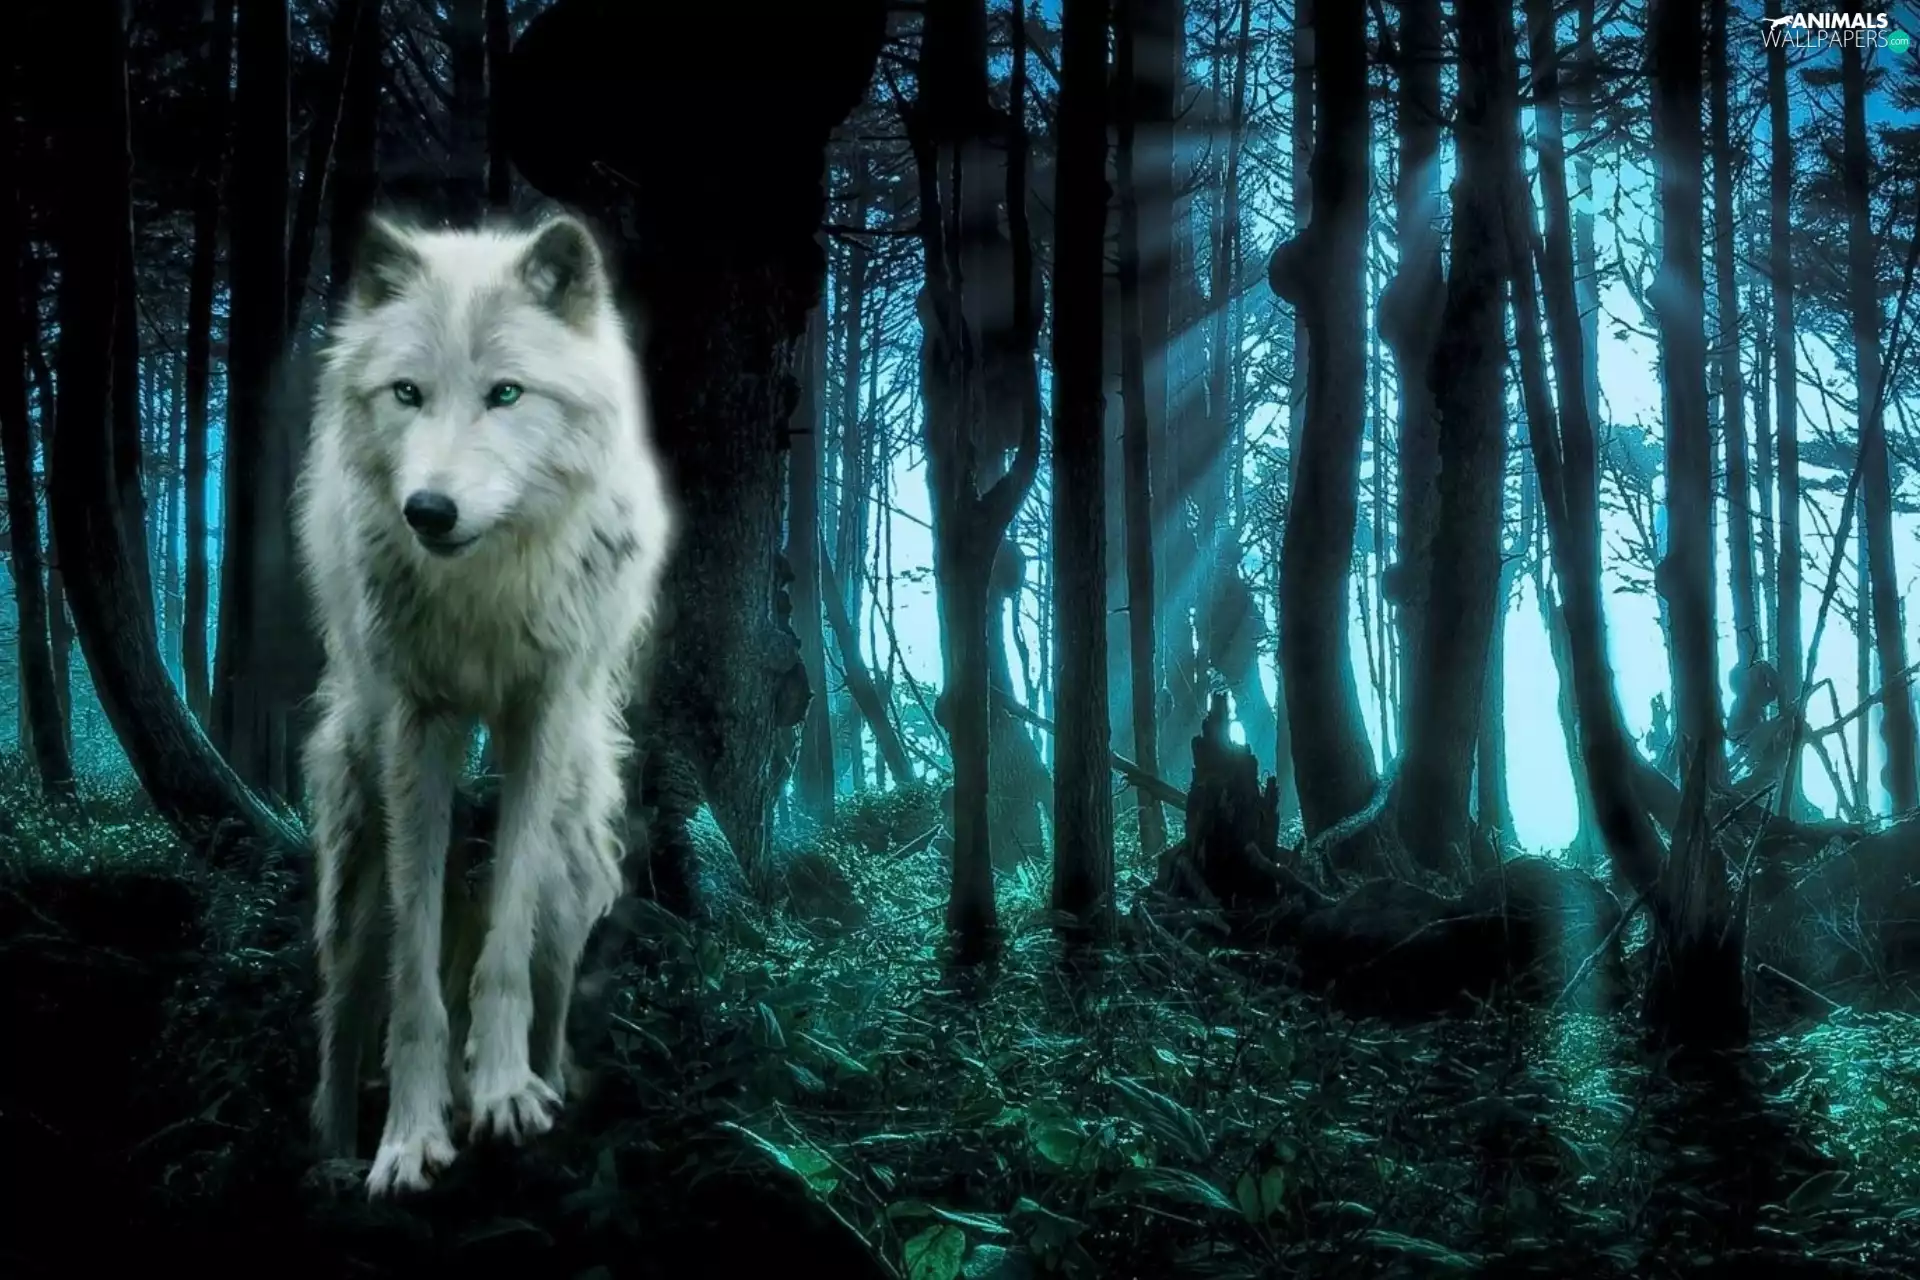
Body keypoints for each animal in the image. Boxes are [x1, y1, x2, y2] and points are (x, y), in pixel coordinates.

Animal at [296, 212, 674, 1198]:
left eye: (506, 394)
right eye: (407, 393)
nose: (429, 509)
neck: (485, 588)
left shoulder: (538, 719)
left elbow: (502, 949)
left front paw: (502, 1096)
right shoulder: (416, 728)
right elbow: (414, 978)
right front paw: (407, 1140)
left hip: (577, 855)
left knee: (548, 971)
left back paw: (542, 1094)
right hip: (354, 849)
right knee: (341, 1007)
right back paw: (332, 1156)